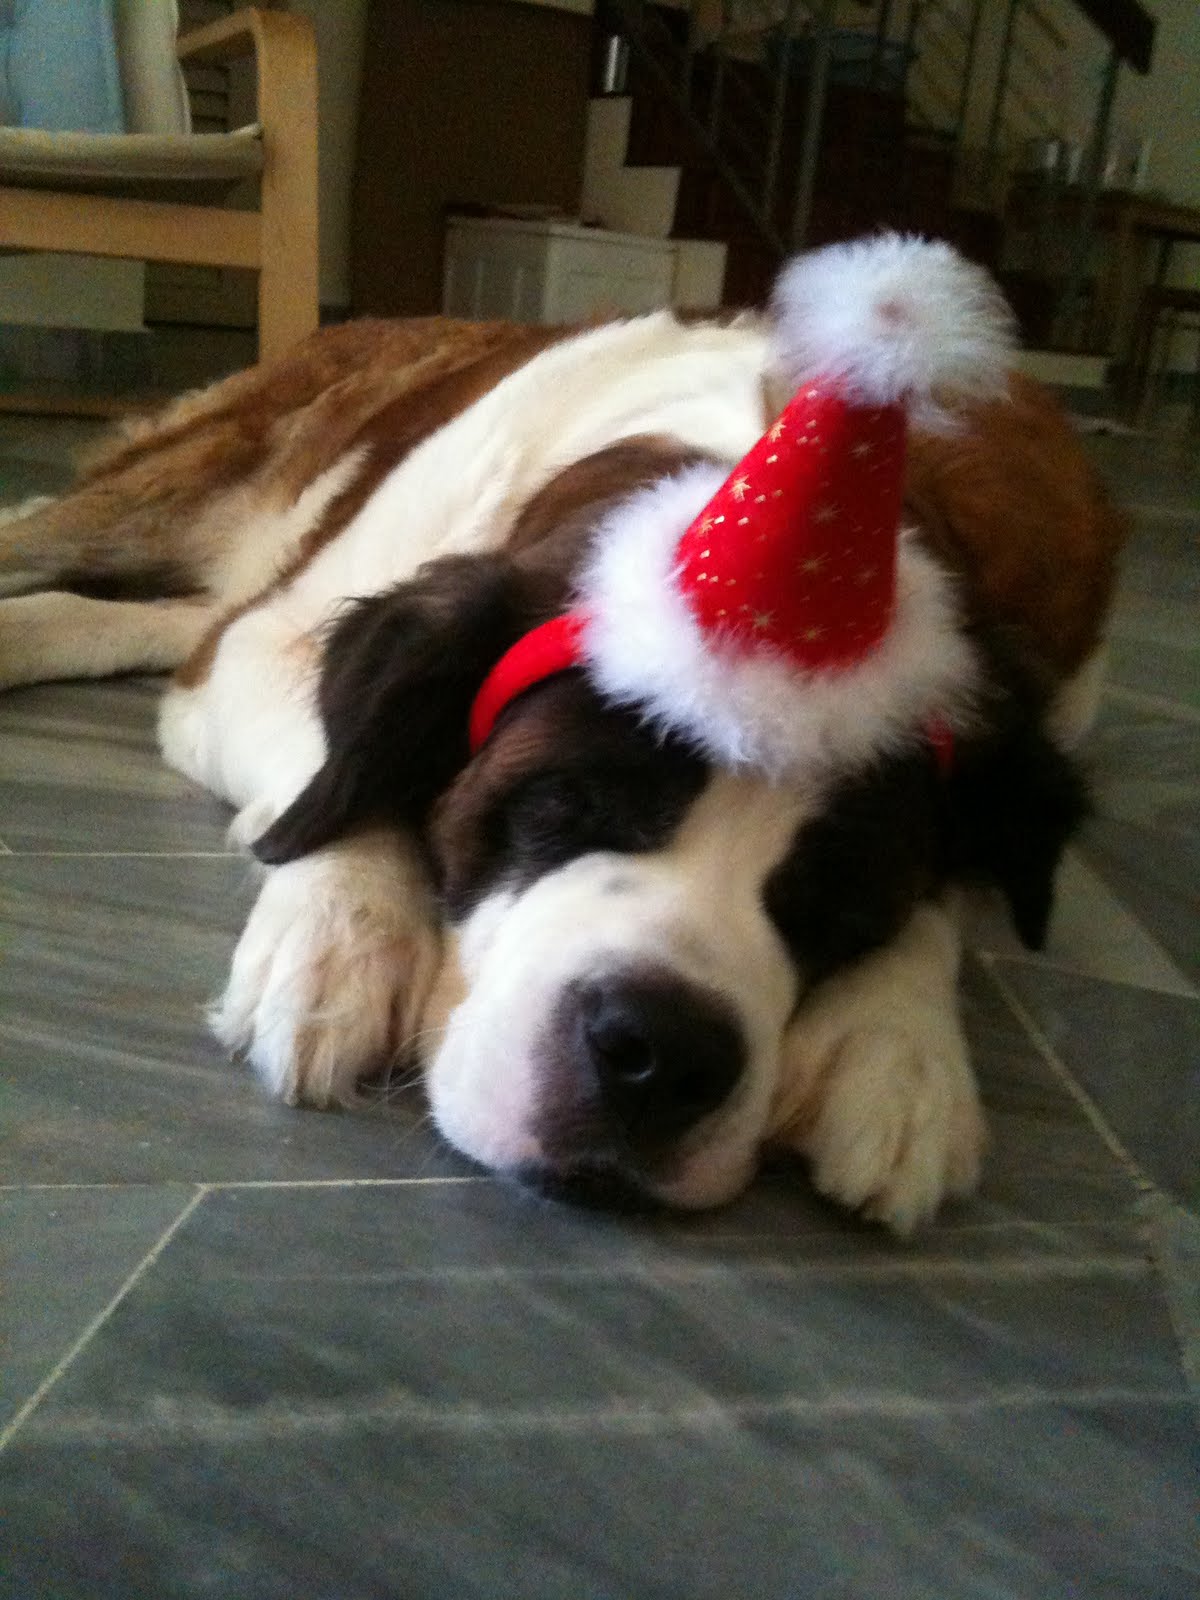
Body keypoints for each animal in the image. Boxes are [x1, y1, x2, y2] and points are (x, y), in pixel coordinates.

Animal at [0, 237, 1124, 1232]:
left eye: (844, 899)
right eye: (560, 803)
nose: (664, 1055)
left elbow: (942, 899)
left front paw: (896, 1045)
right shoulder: (263, 645)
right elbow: (342, 769)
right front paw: (345, 932)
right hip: (173, 492)